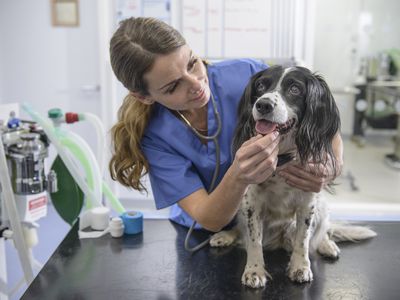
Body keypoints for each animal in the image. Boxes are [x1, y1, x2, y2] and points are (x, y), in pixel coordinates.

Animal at [211, 65, 376, 288]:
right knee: (241, 231)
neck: (281, 157)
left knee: (323, 231)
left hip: (321, 205)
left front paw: (300, 267)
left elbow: (303, 240)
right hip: (240, 206)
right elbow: (254, 241)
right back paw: (225, 236)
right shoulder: (251, 202)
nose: (263, 104)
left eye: (295, 89)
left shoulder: (308, 203)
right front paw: (254, 270)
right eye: (261, 85)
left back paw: (327, 245)